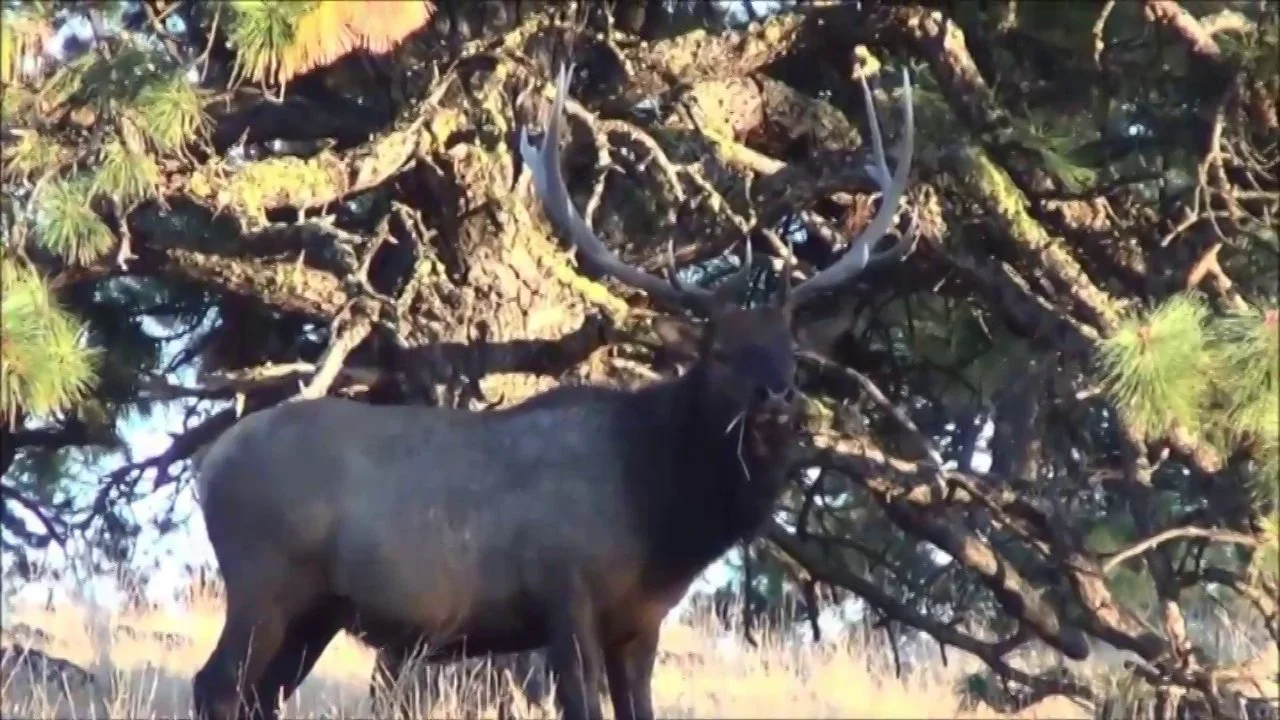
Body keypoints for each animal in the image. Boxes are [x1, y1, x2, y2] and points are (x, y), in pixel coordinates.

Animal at [190, 61, 914, 720]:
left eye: (793, 352)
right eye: (720, 351)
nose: (776, 398)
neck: (662, 525)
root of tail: (208, 466)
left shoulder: (641, 623)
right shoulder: (564, 594)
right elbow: (580, 705)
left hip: (317, 612)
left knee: (257, 696)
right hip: (263, 580)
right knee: (215, 685)